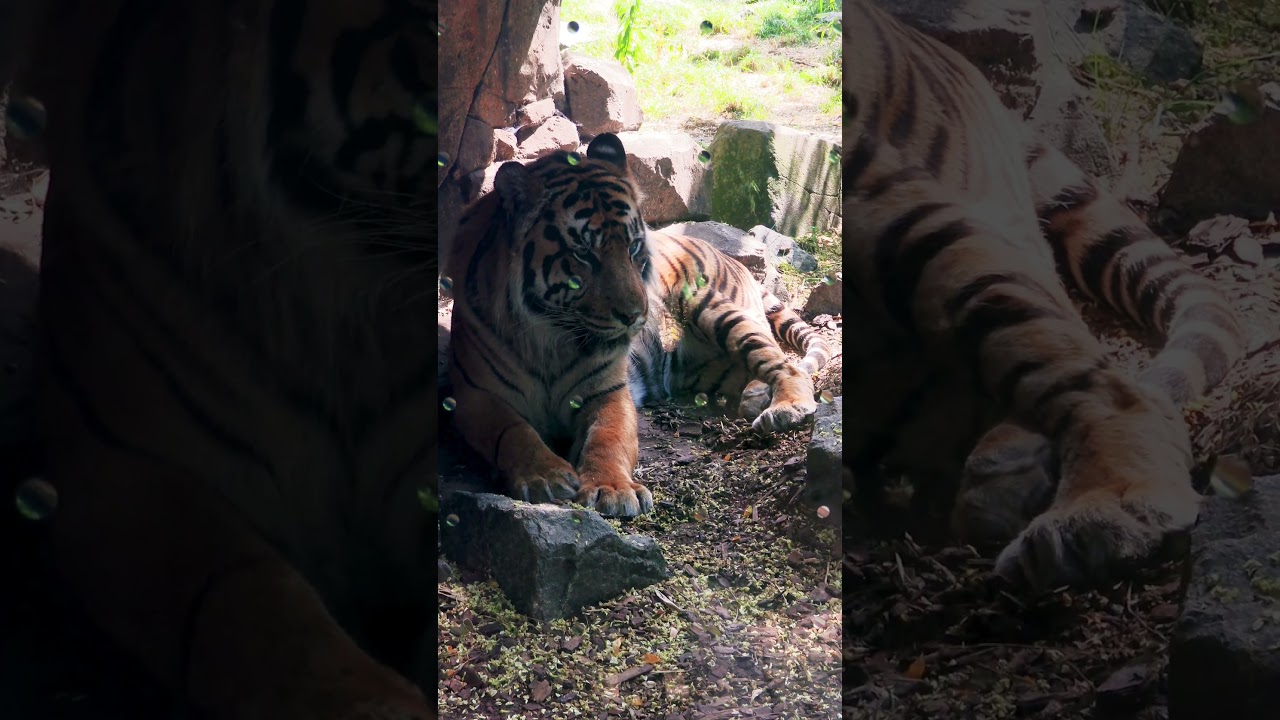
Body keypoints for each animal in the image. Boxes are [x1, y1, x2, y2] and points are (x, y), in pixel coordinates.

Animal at [443, 132, 830, 518]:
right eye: (583, 254)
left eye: (633, 247)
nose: (635, 315)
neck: (550, 338)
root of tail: (728, 256)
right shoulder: (475, 393)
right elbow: (512, 431)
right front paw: (546, 475)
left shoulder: (608, 391)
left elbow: (609, 437)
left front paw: (612, 489)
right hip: (702, 370)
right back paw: (755, 397)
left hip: (713, 308)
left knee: (786, 365)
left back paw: (784, 410)